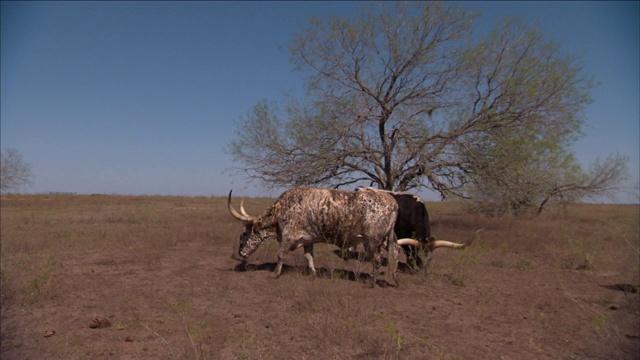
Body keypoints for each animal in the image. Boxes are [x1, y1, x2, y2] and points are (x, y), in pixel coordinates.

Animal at [229, 188, 400, 286]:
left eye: (244, 233)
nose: (241, 253)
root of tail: (393, 201)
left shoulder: (288, 237)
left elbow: (280, 255)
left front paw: (275, 274)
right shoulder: (307, 240)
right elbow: (309, 256)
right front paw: (313, 274)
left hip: (373, 241)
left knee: (377, 259)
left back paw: (371, 282)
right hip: (385, 239)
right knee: (396, 251)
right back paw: (394, 278)